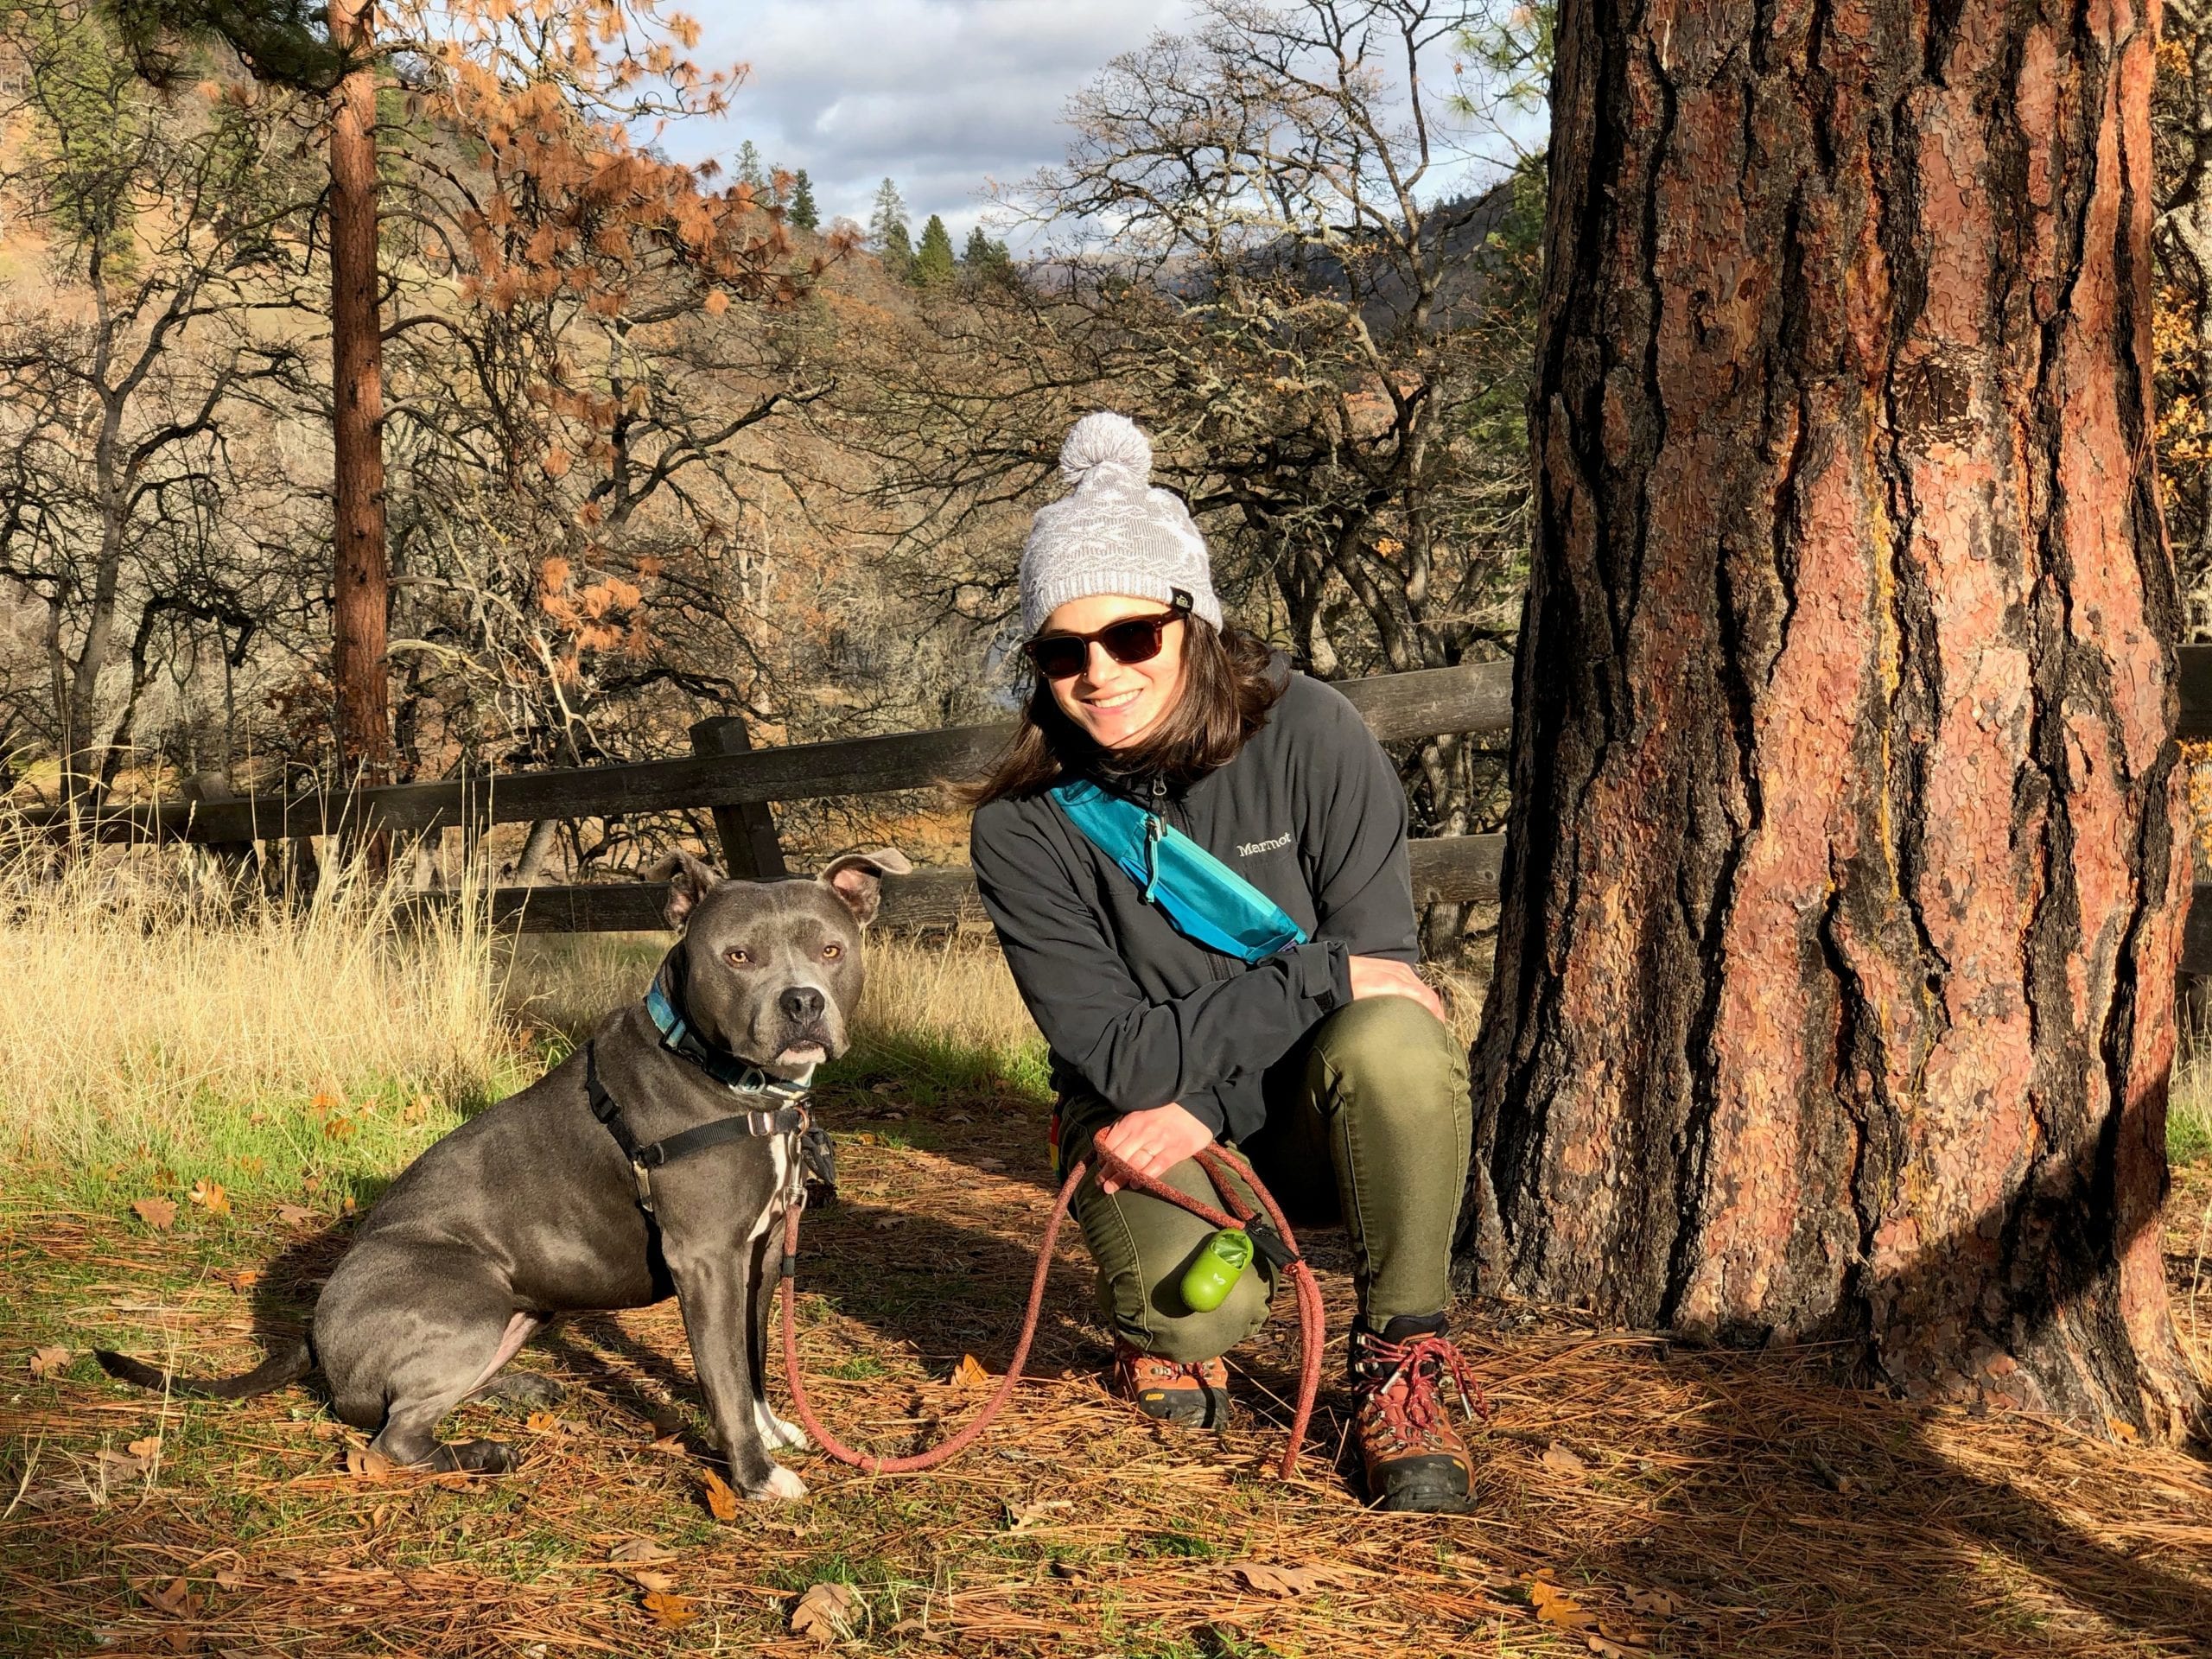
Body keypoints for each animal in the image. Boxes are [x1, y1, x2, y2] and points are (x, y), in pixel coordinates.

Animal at [95, 849, 906, 1503]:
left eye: (831, 949)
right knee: (391, 1440)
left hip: (519, 1313)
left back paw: (516, 1389)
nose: (802, 1001)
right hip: (469, 1298)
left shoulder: (763, 1253)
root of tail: (316, 1338)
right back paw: (483, 1453)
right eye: (737, 956)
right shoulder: (707, 1259)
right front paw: (755, 1476)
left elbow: (756, 1358)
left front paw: (773, 1434)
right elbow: (726, 1379)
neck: (734, 1084)